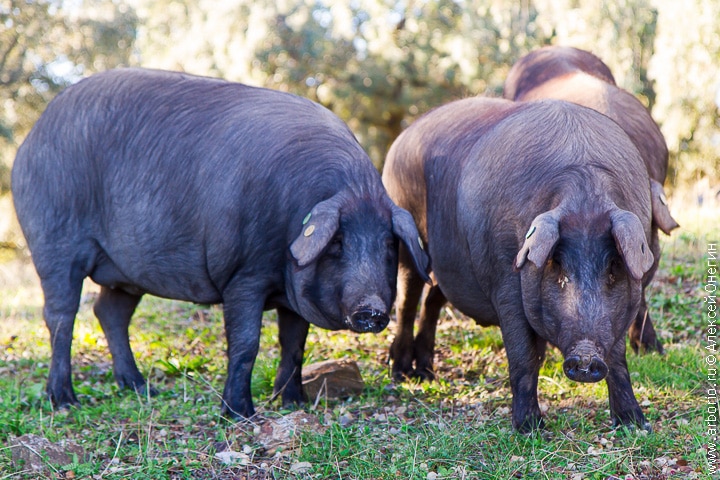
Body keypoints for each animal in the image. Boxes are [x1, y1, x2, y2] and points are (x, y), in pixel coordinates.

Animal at [12, 68, 428, 420]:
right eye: (337, 242)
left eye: (389, 246)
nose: (372, 310)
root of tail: (31, 138)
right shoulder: (244, 275)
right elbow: (246, 343)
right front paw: (239, 413)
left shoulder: (290, 294)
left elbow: (294, 344)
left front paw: (293, 402)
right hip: (54, 242)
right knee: (60, 316)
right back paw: (65, 400)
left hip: (125, 273)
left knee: (109, 312)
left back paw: (140, 388)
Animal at [386, 97, 656, 432]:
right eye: (557, 266)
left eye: (613, 267)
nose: (585, 357)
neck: (583, 189)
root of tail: (401, 138)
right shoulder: (505, 280)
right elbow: (523, 355)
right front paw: (530, 428)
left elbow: (618, 359)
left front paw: (635, 424)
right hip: (407, 237)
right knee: (407, 301)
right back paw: (401, 374)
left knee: (432, 300)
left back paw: (426, 374)